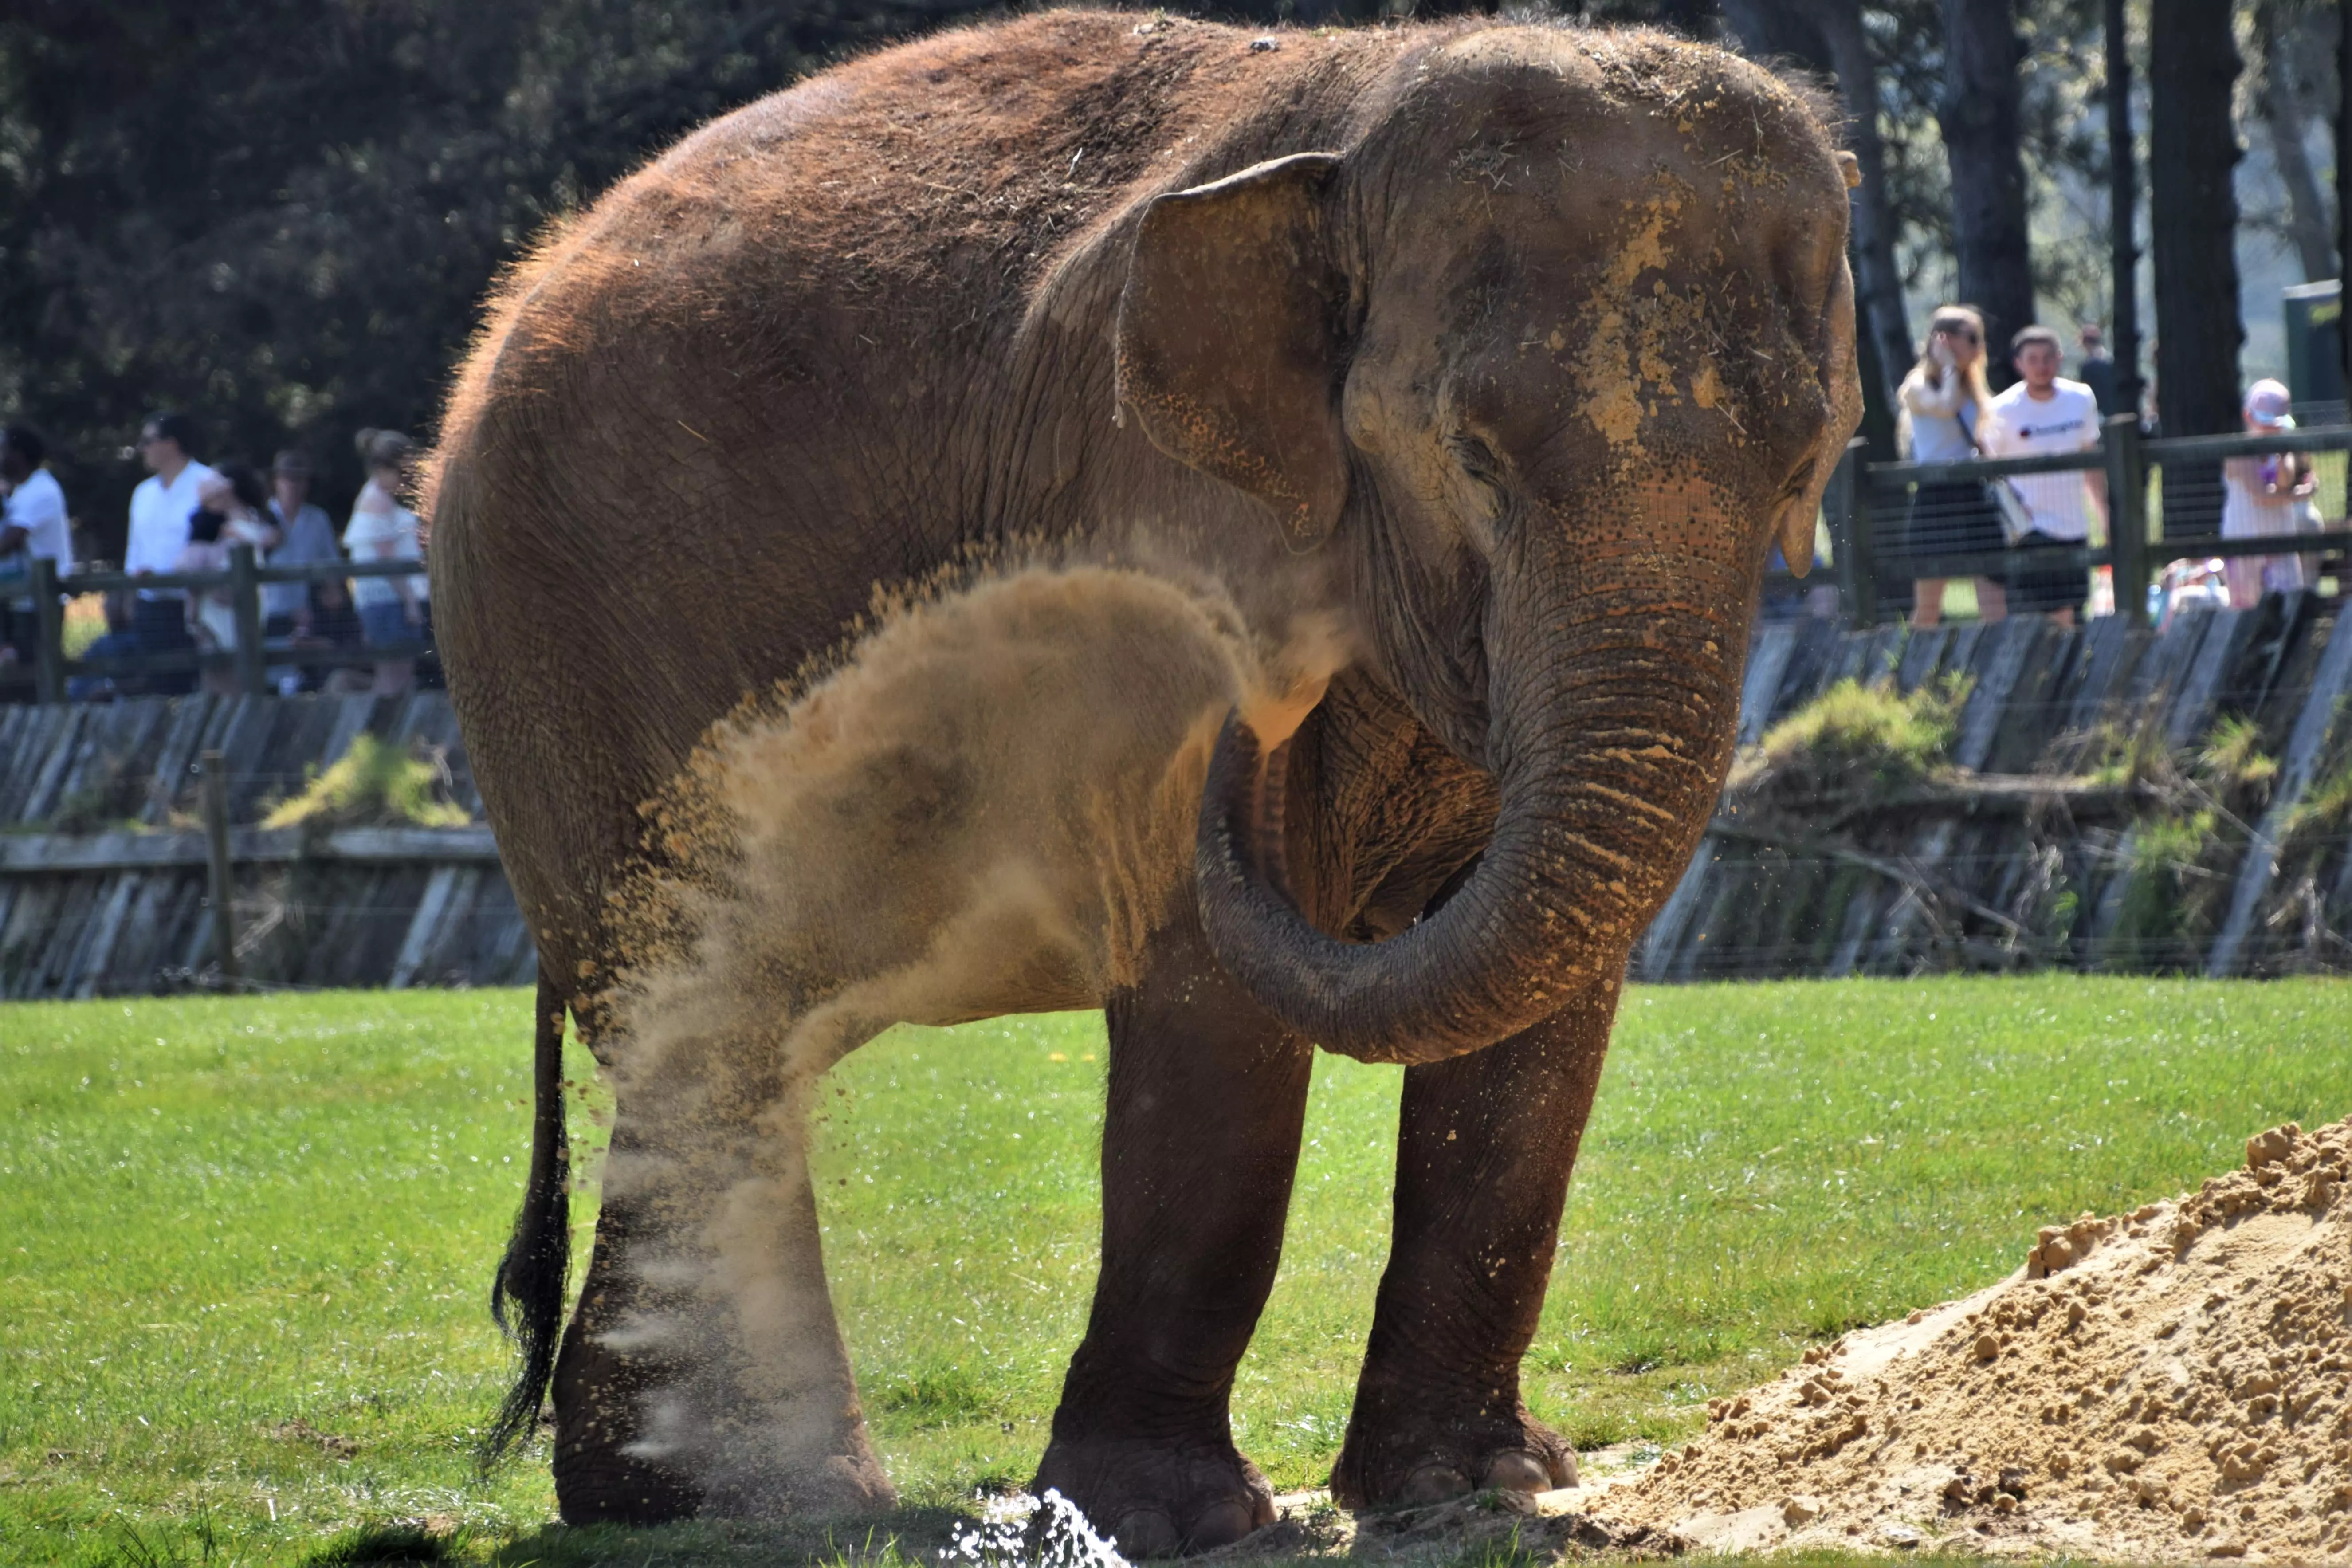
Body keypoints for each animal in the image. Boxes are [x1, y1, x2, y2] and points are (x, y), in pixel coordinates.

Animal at [423, 9, 1853, 1561]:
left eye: (1804, 457)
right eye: (1469, 451)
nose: (1257, 714)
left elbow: (1540, 1028)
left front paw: (1482, 1484)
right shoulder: (1155, 522)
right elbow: (1211, 1010)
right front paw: (1178, 1519)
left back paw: (705, 1493)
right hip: (558, 651)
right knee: (702, 1045)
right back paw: (754, 1500)